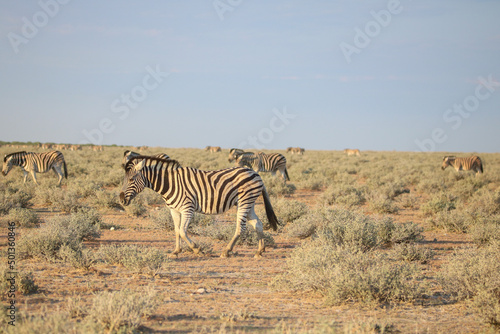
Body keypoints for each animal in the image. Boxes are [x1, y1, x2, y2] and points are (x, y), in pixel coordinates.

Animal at [119, 157, 280, 258]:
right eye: (124, 179)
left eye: (131, 179)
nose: (121, 199)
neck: (170, 184)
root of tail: (255, 173)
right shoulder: (174, 210)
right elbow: (176, 231)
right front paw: (175, 251)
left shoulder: (187, 208)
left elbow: (183, 231)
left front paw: (197, 250)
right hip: (249, 203)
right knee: (258, 224)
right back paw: (259, 251)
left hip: (244, 201)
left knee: (241, 228)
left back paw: (226, 251)